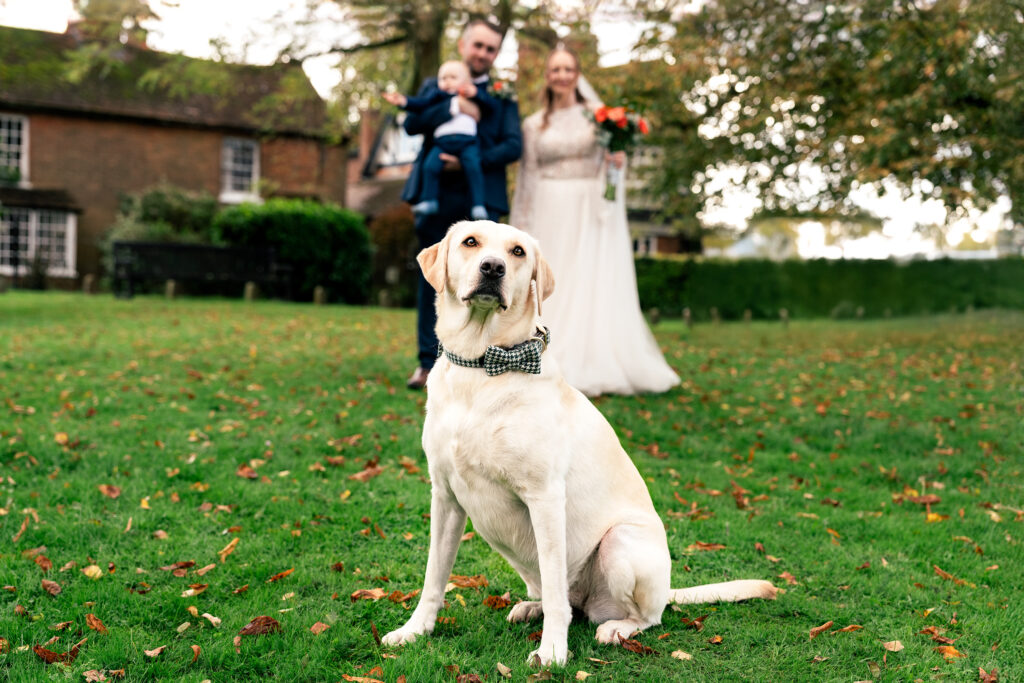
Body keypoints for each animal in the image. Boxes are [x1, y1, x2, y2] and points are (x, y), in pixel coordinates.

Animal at [385, 222, 774, 663]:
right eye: (471, 242)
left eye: (517, 252)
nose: (493, 268)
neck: (482, 366)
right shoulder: (446, 497)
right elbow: (434, 577)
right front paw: (414, 630)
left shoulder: (545, 498)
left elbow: (557, 591)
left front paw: (552, 652)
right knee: (567, 599)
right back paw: (530, 607)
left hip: (619, 543)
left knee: (638, 616)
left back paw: (617, 628)